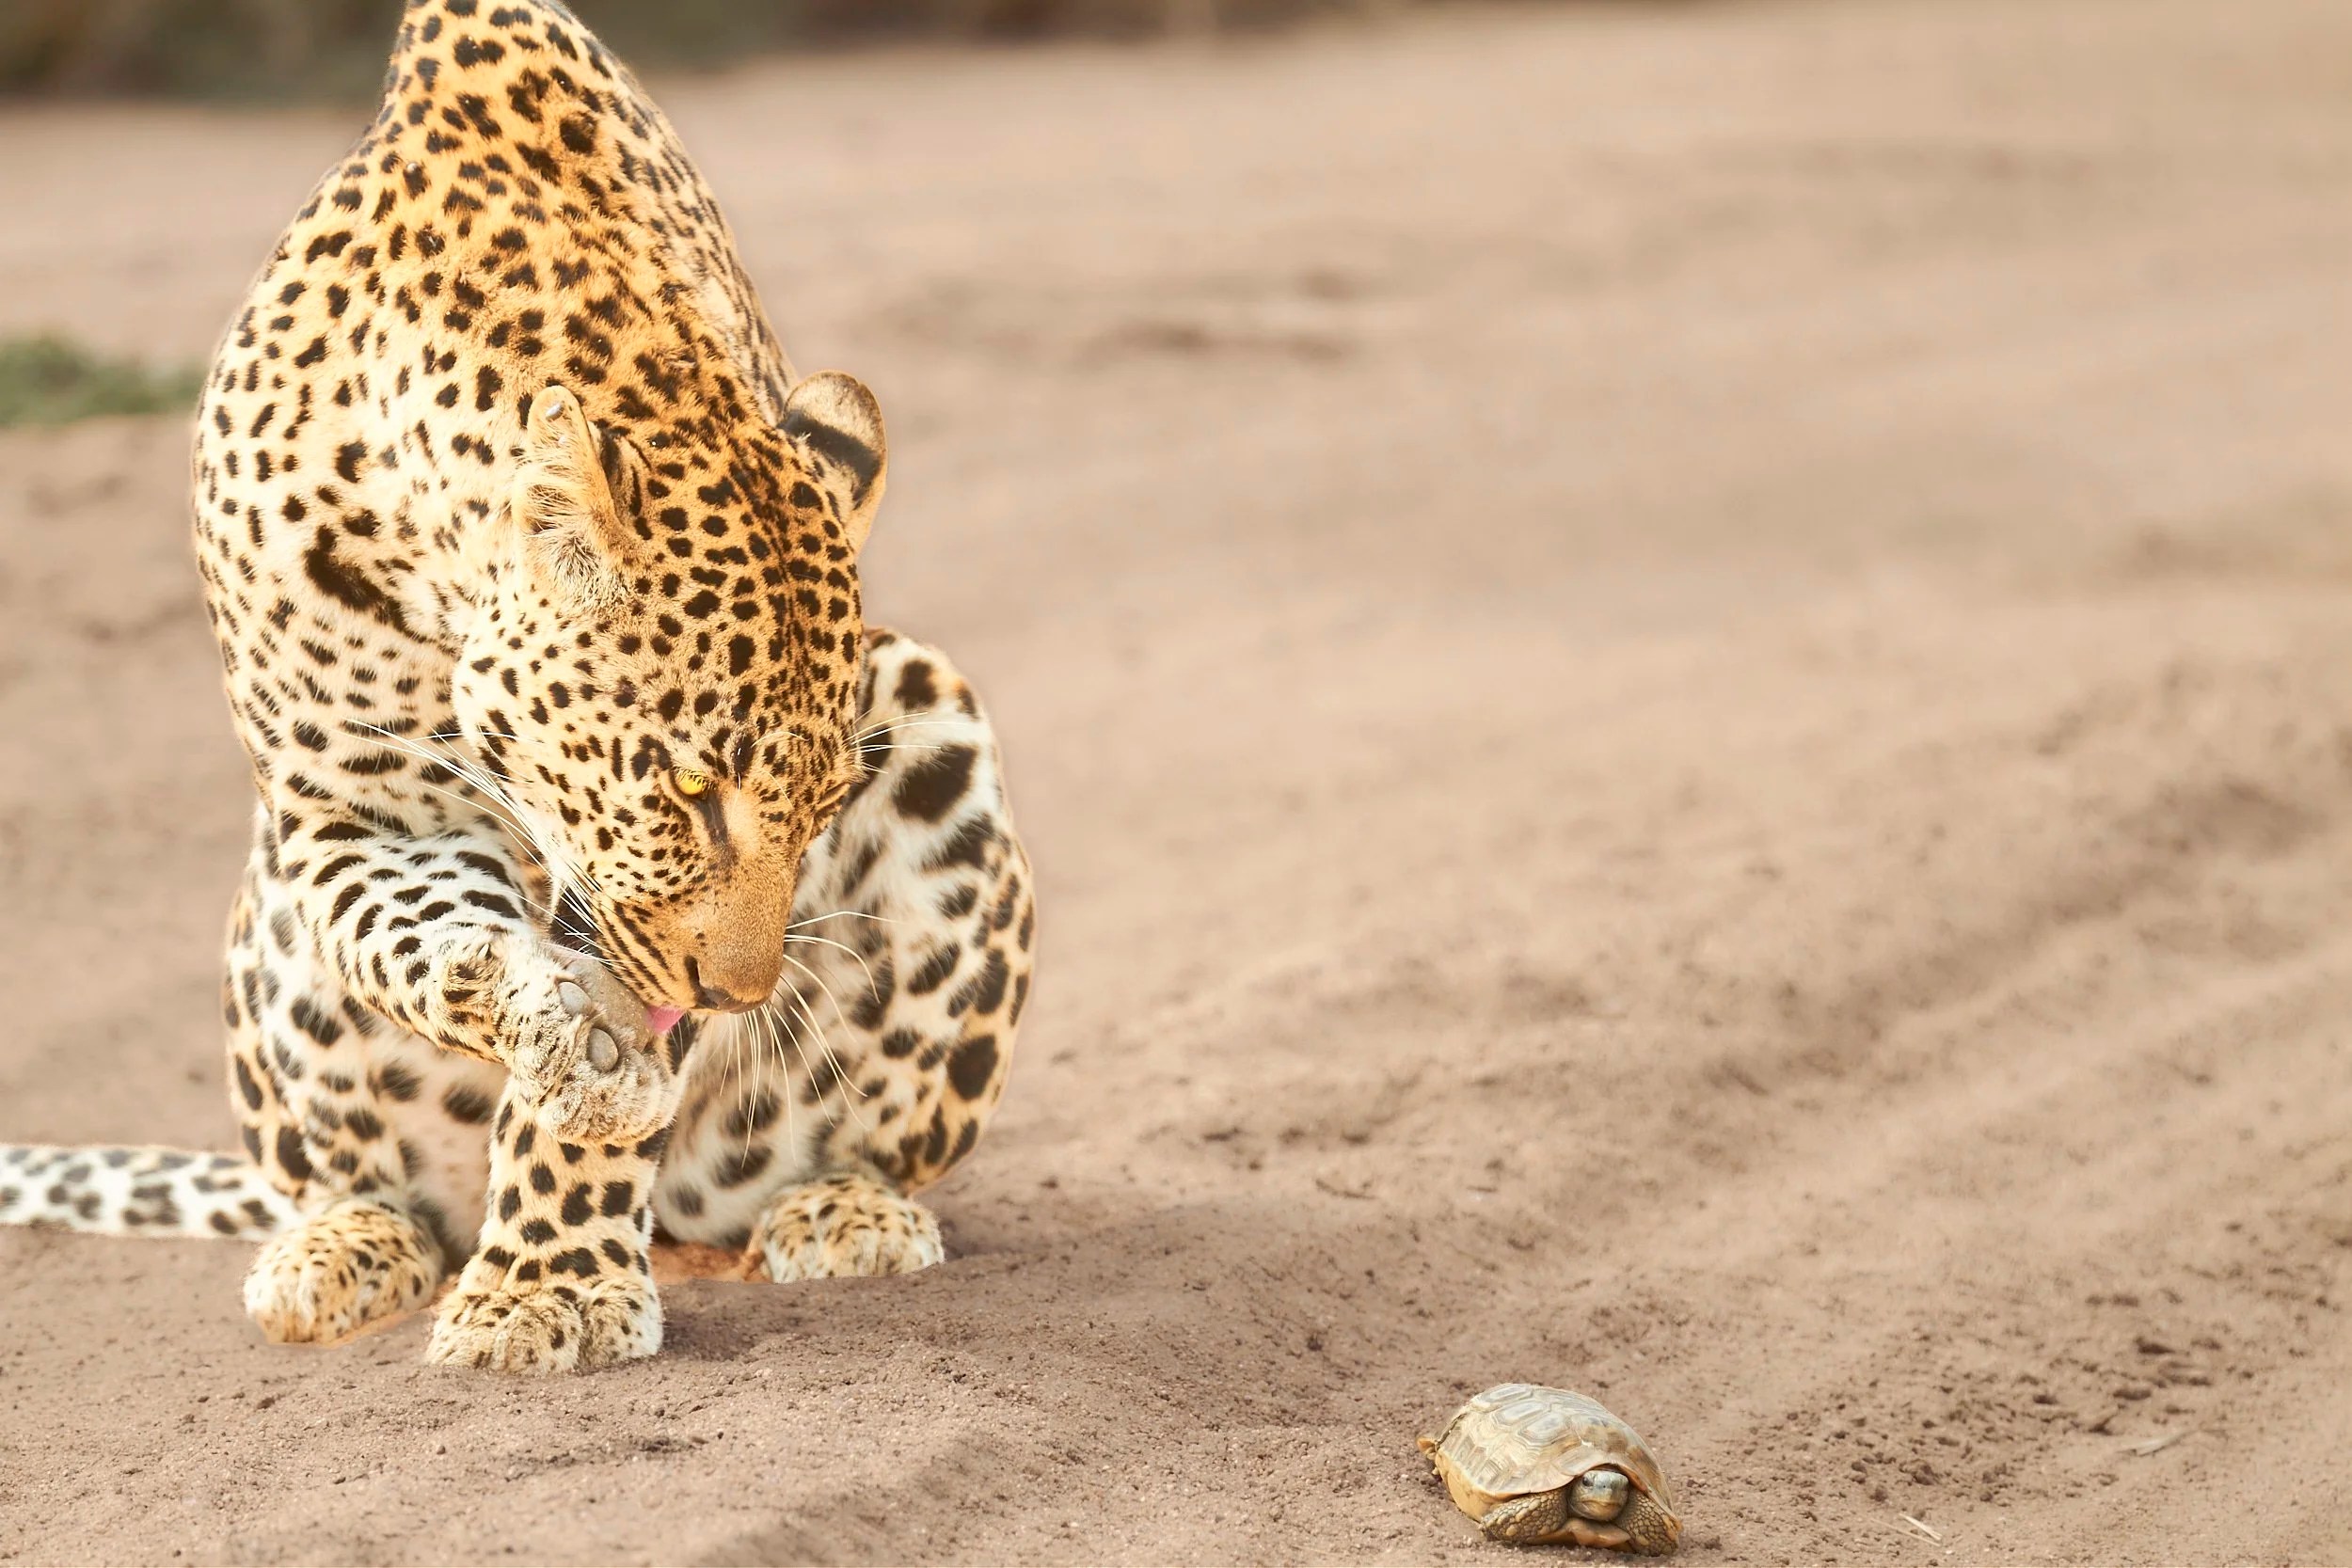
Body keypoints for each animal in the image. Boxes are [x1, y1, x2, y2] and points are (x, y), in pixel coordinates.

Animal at [0, 0, 1035, 1373]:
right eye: (690, 788)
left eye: (817, 811)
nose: (737, 993)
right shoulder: (361, 803)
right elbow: (427, 929)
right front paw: (543, 1025)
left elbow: (590, 1097)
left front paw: (550, 1280)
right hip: (275, 954)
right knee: (358, 1184)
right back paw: (340, 1248)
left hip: (928, 716)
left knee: (772, 1183)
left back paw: (841, 1210)